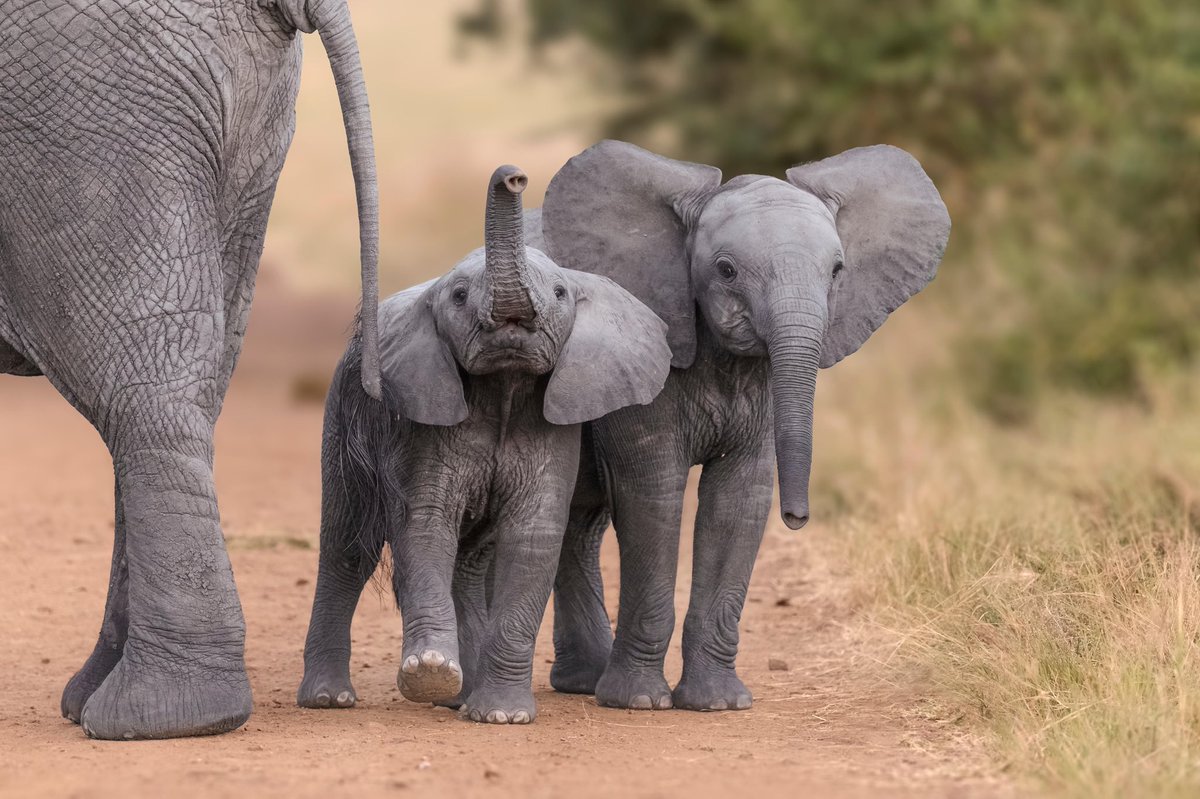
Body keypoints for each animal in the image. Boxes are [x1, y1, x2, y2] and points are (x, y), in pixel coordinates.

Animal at [297, 166, 671, 724]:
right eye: (456, 296)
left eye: (560, 293)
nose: (514, 177)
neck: (504, 386)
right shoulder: (425, 423)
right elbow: (426, 525)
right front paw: (429, 671)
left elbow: (532, 538)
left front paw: (501, 715)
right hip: (344, 414)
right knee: (347, 546)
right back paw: (330, 699)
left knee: (469, 562)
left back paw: (462, 699)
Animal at [535, 140, 950, 711]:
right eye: (727, 270)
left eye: (838, 270)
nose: (797, 518)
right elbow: (653, 495)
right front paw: (638, 702)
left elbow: (737, 501)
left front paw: (717, 704)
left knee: (580, 523)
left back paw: (583, 682)